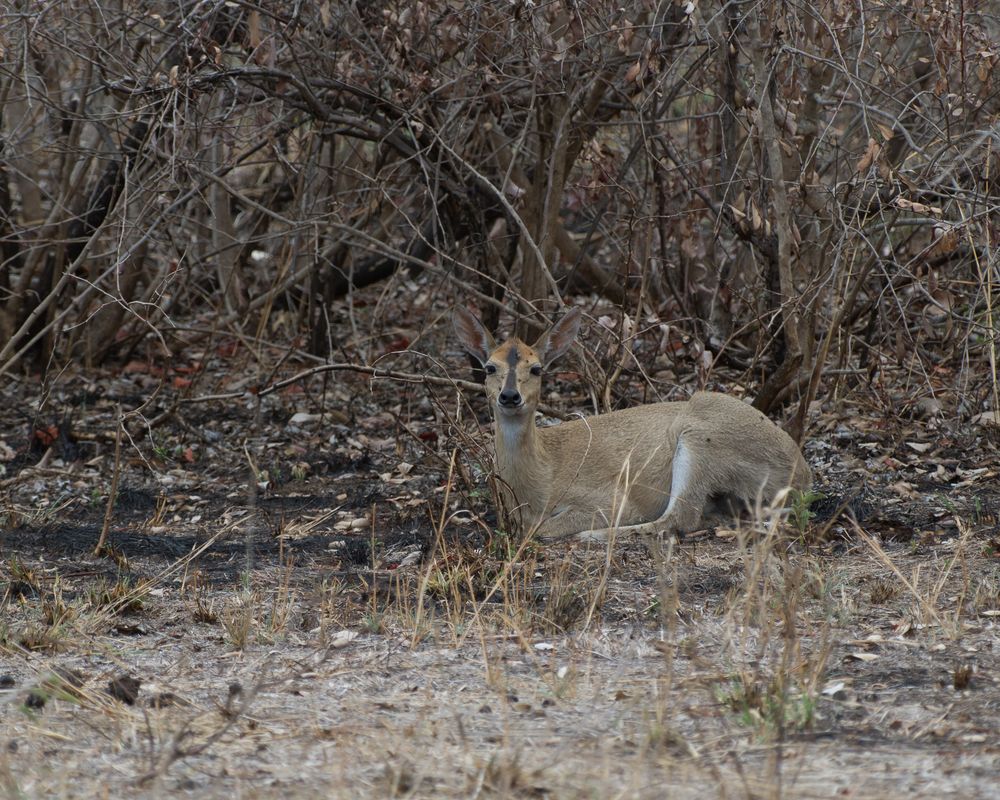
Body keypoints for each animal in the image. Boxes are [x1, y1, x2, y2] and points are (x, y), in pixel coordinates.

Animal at [454, 306, 812, 544]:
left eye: (537, 368)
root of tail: (802, 474)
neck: (541, 482)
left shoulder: (608, 497)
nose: (509, 396)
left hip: (700, 442)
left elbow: (543, 528)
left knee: (678, 517)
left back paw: (592, 536)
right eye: (489, 367)